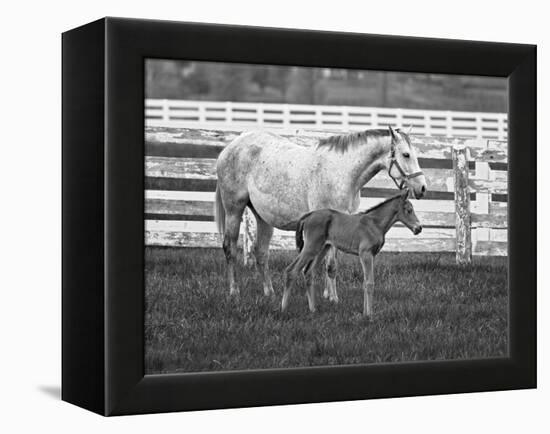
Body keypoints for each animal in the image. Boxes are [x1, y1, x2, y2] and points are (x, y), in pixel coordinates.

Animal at [215, 125, 426, 298]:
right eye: (406, 155)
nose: (422, 187)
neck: (342, 172)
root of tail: (230, 147)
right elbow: (330, 265)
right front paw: (333, 298)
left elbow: (330, 265)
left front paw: (327, 295)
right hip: (234, 210)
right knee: (229, 248)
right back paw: (234, 291)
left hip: (263, 218)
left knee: (261, 252)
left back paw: (270, 293)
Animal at [282, 192, 424, 318]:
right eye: (409, 210)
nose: (419, 228)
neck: (375, 224)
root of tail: (308, 215)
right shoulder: (365, 254)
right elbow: (369, 283)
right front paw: (370, 316)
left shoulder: (372, 255)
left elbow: (365, 282)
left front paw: (365, 313)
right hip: (311, 247)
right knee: (291, 270)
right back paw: (284, 308)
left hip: (322, 248)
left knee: (308, 272)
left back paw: (313, 310)